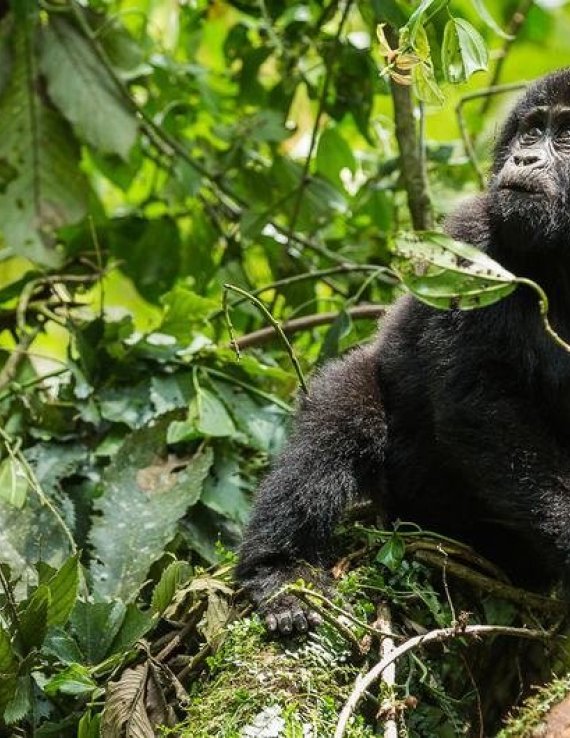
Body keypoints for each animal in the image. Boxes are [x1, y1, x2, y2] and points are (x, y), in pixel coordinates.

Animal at [236, 69, 570, 635]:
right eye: (532, 130)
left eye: (566, 135)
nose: (524, 159)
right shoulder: (473, 235)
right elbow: (481, 403)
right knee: (344, 410)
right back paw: (280, 571)